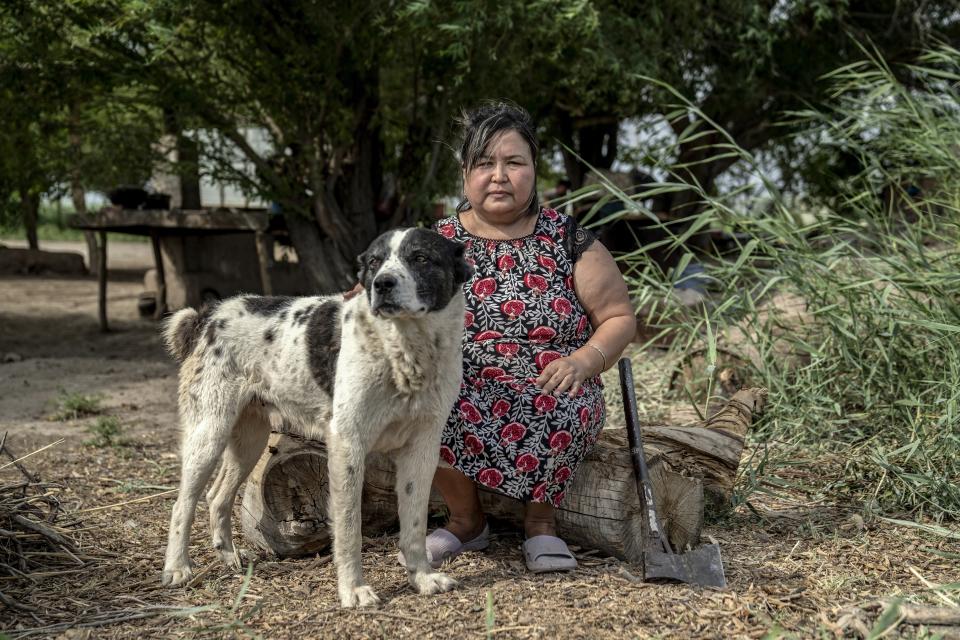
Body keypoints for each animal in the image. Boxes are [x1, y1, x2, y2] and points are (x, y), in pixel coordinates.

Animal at [159, 228, 470, 608]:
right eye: (374, 262)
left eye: (421, 258)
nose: (382, 284)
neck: (404, 350)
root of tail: (208, 314)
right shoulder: (348, 446)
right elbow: (349, 529)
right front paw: (353, 590)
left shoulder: (422, 450)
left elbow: (414, 525)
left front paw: (422, 578)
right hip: (209, 432)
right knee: (182, 504)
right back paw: (178, 568)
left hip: (249, 439)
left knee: (217, 496)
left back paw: (229, 557)